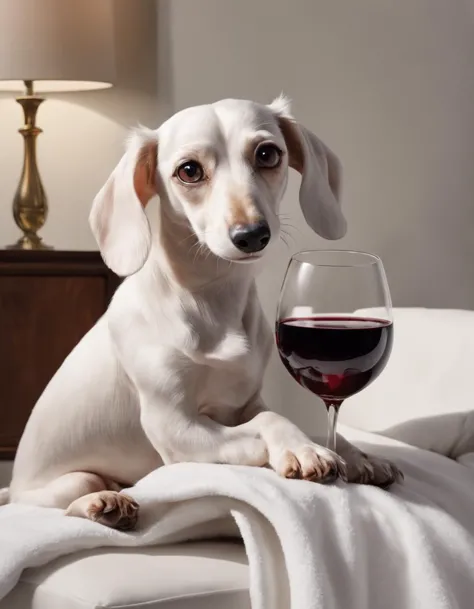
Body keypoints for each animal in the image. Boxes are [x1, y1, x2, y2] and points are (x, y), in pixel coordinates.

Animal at [1, 95, 402, 528]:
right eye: (189, 170)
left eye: (268, 154)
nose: (251, 235)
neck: (212, 302)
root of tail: (13, 489)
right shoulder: (176, 427)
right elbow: (269, 422)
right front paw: (303, 448)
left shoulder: (245, 402)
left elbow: (289, 419)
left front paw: (355, 455)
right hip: (70, 483)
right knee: (73, 498)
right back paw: (105, 502)